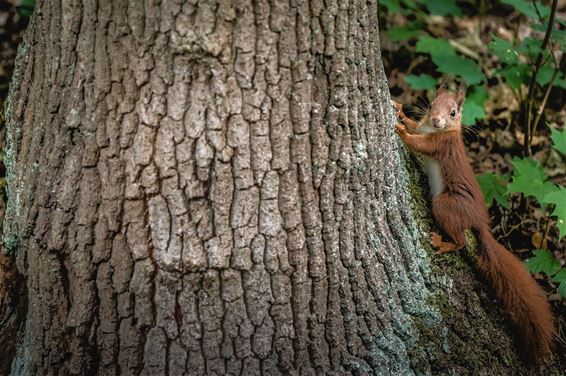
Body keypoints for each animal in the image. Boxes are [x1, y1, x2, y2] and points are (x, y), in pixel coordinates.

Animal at [394, 81, 556, 362]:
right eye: (432, 104)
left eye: (454, 113)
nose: (436, 120)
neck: (436, 130)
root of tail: (480, 223)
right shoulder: (425, 127)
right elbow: (416, 127)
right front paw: (400, 111)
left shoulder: (441, 144)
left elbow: (420, 144)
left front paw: (401, 131)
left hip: (445, 206)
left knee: (460, 241)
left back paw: (444, 243)